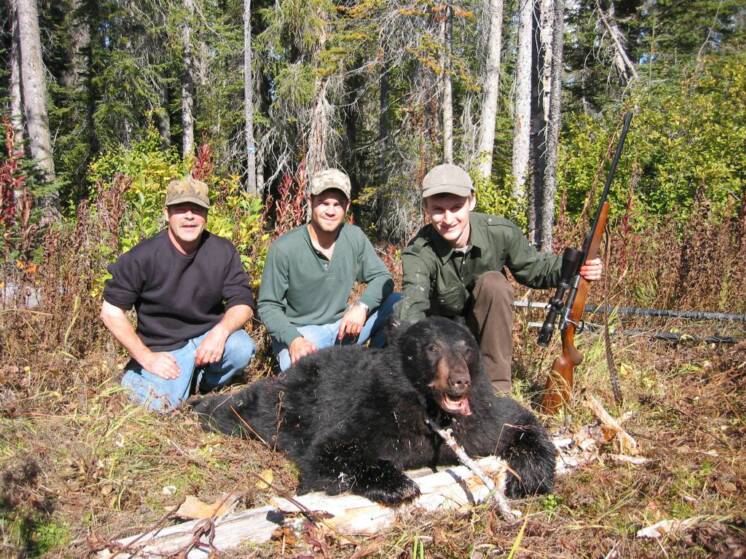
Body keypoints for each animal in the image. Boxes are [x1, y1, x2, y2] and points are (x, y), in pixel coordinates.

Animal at [192, 318, 552, 506]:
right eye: (432, 348)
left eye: (466, 348)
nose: (459, 380)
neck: (432, 413)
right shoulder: (377, 408)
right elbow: (328, 451)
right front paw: (399, 484)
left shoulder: (478, 417)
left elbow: (518, 422)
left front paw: (529, 477)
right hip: (287, 401)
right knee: (247, 408)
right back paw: (202, 407)